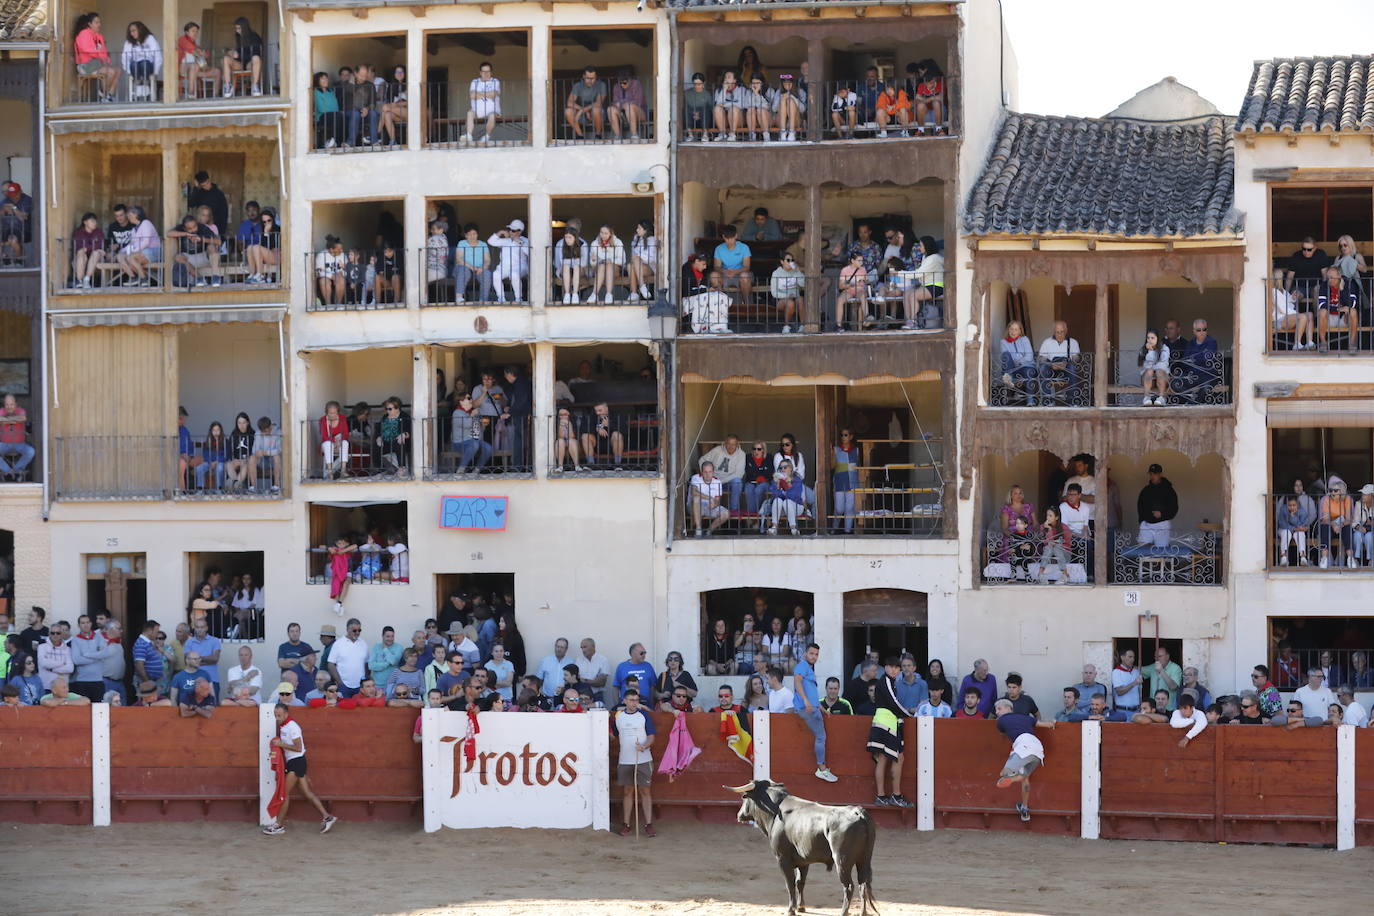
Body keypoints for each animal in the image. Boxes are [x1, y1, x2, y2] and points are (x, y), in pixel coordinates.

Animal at [730, 780, 879, 916]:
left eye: (744, 797)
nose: (739, 815)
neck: (776, 812)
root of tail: (858, 812)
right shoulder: (804, 860)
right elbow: (800, 882)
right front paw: (801, 907)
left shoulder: (782, 858)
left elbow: (790, 883)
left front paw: (791, 909)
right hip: (864, 859)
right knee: (863, 884)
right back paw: (863, 912)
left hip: (842, 860)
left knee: (849, 886)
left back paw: (844, 912)